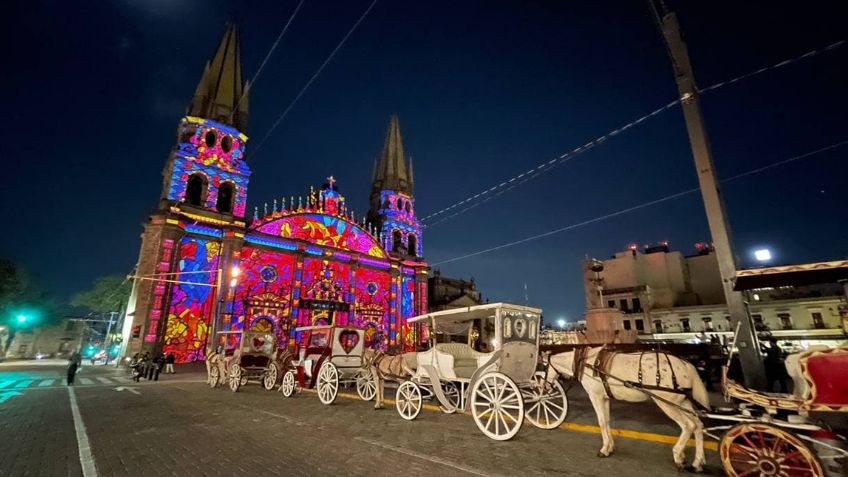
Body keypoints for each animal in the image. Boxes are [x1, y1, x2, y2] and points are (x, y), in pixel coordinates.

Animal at [548, 346, 708, 472]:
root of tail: (685, 364)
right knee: (698, 425)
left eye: (543, 368)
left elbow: (601, 422)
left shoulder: (596, 396)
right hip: (683, 402)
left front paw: (604, 449)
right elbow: (607, 422)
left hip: (668, 403)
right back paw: (697, 462)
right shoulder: (604, 398)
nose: (547, 387)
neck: (585, 362)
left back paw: (678, 455)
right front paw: (610, 447)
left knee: (688, 425)